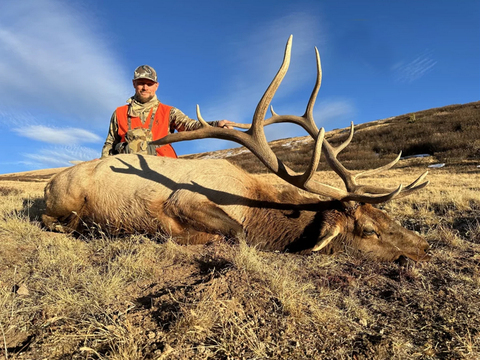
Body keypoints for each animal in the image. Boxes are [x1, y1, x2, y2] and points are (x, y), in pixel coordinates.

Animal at [43, 35, 430, 262]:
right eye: (369, 230)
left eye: (387, 217)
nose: (425, 247)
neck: (255, 204)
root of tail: (48, 183)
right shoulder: (183, 201)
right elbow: (236, 233)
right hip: (65, 199)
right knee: (54, 220)